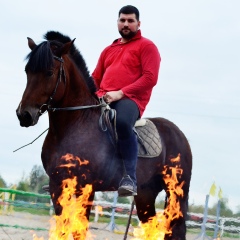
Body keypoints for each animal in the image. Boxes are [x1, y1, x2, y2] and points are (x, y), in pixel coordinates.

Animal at [15, 31, 192, 240]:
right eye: (27, 71)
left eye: (49, 72)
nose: (24, 115)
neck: (75, 125)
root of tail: (178, 133)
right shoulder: (57, 186)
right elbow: (62, 227)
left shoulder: (86, 186)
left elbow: (79, 230)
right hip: (146, 194)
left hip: (176, 192)